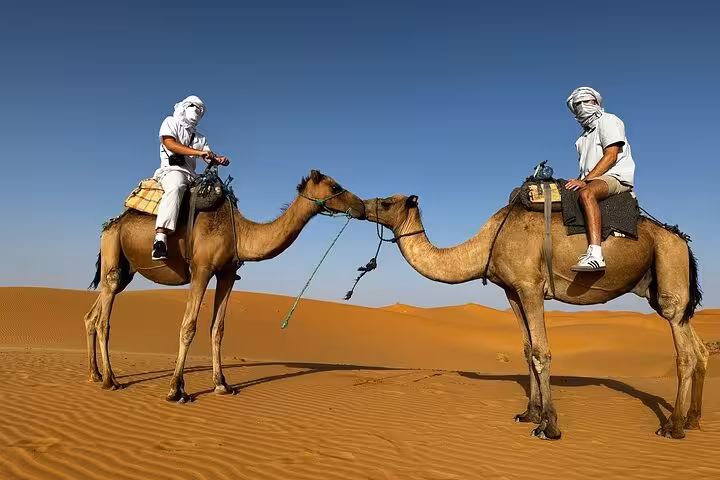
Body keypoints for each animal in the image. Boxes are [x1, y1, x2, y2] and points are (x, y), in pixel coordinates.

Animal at [85, 170, 365, 402]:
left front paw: (222, 385)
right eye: (334, 185)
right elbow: (189, 327)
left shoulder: (227, 273)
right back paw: (110, 380)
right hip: (112, 250)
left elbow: (217, 329)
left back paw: (94, 374)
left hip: (127, 269)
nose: (361, 206)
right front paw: (176, 389)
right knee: (104, 318)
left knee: (93, 314)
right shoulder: (201, 270)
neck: (238, 233)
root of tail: (111, 224)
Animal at [362, 194, 705, 440]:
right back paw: (693, 419)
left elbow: (541, 352)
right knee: (697, 347)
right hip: (658, 284)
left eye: (387, 202)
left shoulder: (530, 286)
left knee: (684, 350)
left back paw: (673, 427)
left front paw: (548, 426)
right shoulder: (512, 291)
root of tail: (683, 241)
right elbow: (527, 350)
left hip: (668, 264)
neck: (488, 243)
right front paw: (529, 414)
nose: (359, 203)